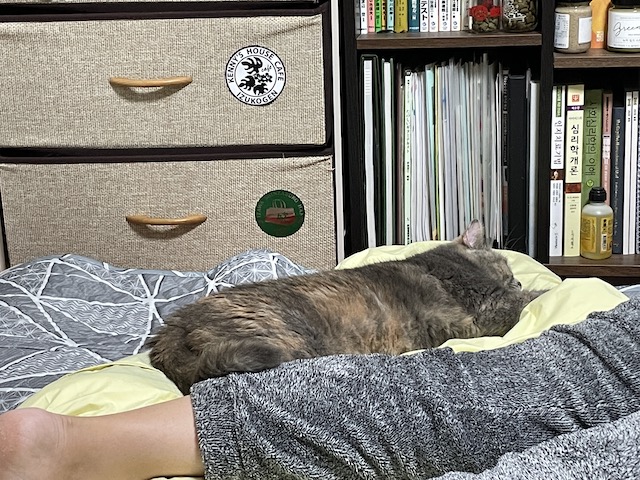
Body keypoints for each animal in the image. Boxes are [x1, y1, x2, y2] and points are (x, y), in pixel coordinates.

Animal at [147, 220, 544, 394]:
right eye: (509, 270)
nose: (517, 281)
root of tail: (169, 334)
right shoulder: (485, 310)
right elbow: (522, 303)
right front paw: (545, 288)